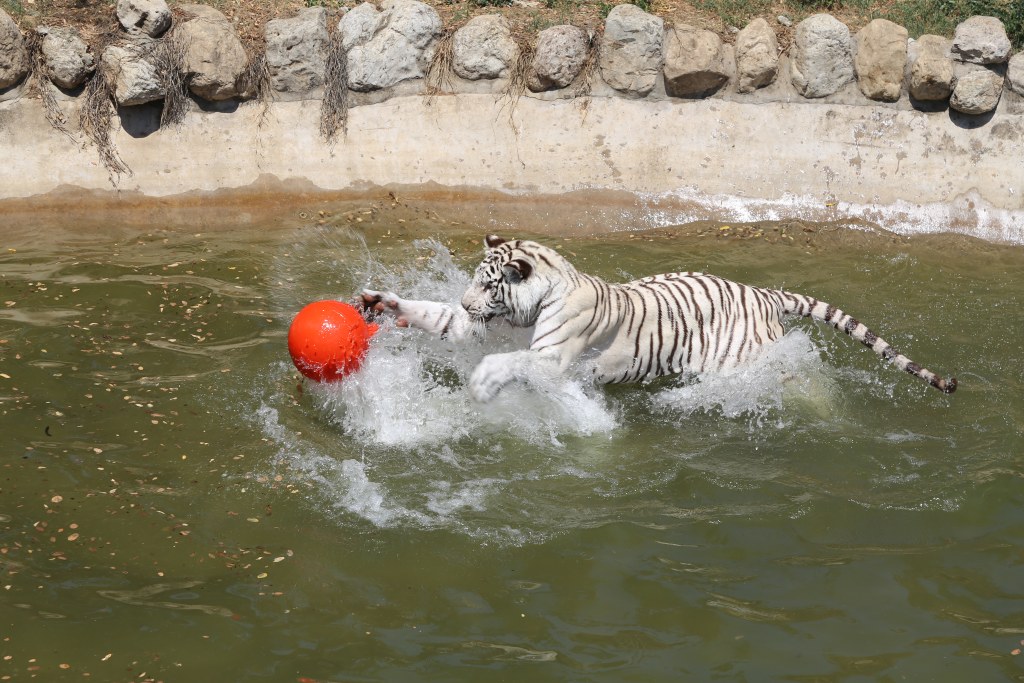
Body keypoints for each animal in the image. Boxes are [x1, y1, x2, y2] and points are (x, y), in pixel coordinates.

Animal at [356, 237, 954, 403]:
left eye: (488, 283)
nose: (466, 302)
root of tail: (761, 291)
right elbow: (432, 316)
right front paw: (380, 301)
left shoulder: (550, 357)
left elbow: (510, 362)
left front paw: (481, 384)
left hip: (742, 363)